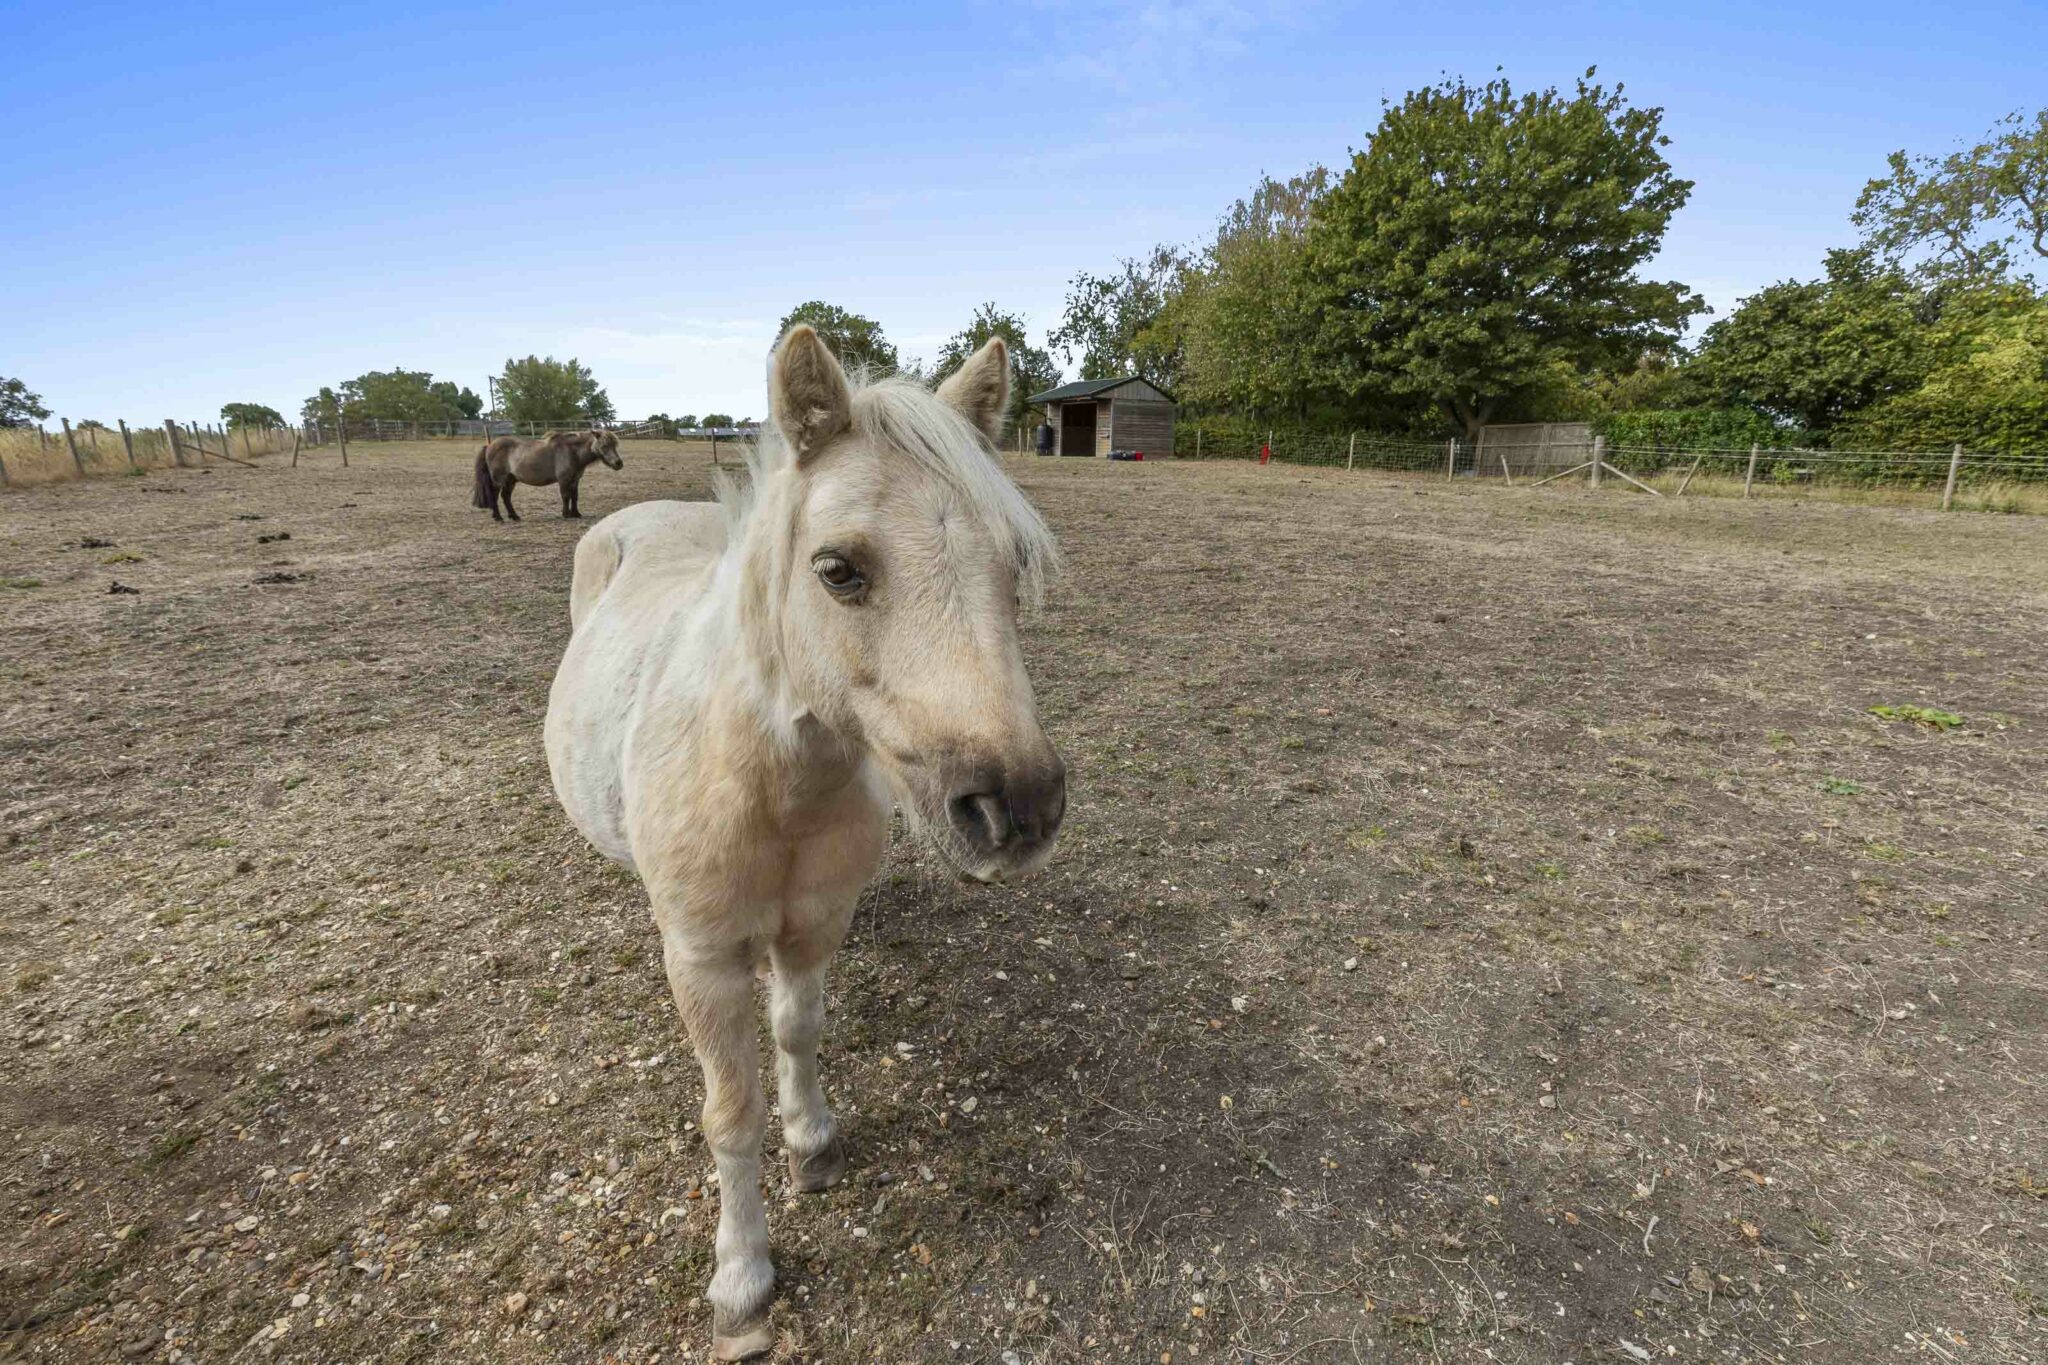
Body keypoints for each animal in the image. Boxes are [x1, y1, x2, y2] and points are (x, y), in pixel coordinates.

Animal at [471, 428, 623, 521]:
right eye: (604, 445)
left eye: (615, 445)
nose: (618, 463)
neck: (571, 451)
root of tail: (489, 445)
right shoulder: (564, 479)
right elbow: (566, 496)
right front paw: (566, 514)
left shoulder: (575, 479)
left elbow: (575, 496)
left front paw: (576, 513)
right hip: (498, 480)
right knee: (494, 495)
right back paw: (498, 517)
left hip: (510, 480)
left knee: (506, 497)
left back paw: (514, 516)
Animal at [543, 326, 1066, 1359]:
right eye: (838, 569)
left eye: (1015, 562)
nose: (1019, 807)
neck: (768, 789)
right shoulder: (704, 958)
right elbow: (730, 1112)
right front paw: (742, 1278)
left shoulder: (815, 926)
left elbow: (798, 1030)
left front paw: (813, 1142)